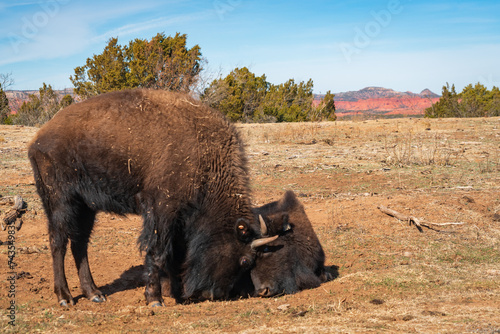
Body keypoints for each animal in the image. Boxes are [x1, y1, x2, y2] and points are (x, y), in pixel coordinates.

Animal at [28, 88, 278, 306]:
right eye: (245, 260)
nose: (214, 295)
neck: (206, 157)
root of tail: (38, 139)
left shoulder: (177, 219)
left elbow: (172, 254)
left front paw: (170, 291)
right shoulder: (161, 211)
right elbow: (157, 252)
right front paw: (155, 298)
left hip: (86, 207)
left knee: (79, 244)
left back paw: (94, 294)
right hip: (60, 202)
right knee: (58, 242)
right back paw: (65, 297)